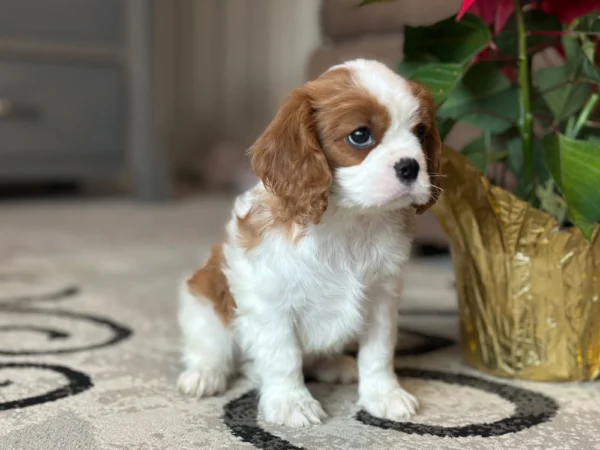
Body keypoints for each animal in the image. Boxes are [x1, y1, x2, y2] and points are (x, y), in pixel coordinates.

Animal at [176, 59, 442, 426]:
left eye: (420, 133)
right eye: (360, 135)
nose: (411, 167)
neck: (348, 220)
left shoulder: (382, 298)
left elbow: (378, 352)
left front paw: (383, 395)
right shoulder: (271, 302)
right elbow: (283, 356)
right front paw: (292, 402)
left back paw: (336, 365)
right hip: (201, 304)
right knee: (212, 350)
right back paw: (205, 375)